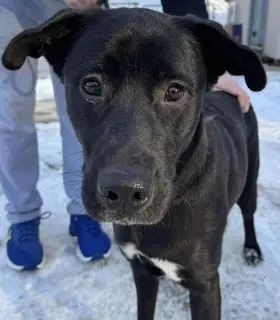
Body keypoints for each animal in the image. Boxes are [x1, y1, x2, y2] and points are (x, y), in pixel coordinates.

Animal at [3, 7, 266, 320]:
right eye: (91, 85)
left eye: (175, 91)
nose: (124, 192)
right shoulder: (141, 272)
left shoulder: (206, 285)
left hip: (249, 183)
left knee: (249, 214)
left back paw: (252, 250)